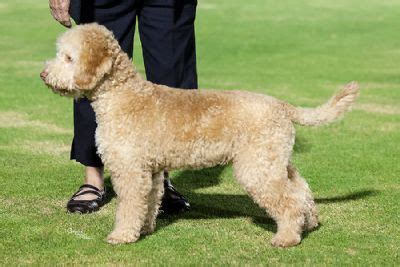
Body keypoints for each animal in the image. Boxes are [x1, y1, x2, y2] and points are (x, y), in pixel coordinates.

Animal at [39, 24, 360, 248]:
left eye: (68, 57)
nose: (44, 74)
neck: (122, 96)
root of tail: (282, 105)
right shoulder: (151, 170)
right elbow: (149, 201)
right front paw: (145, 229)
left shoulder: (130, 168)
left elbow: (129, 205)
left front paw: (122, 235)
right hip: (275, 160)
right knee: (301, 190)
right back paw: (310, 223)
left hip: (257, 167)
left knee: (289, 202)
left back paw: (287, 238)